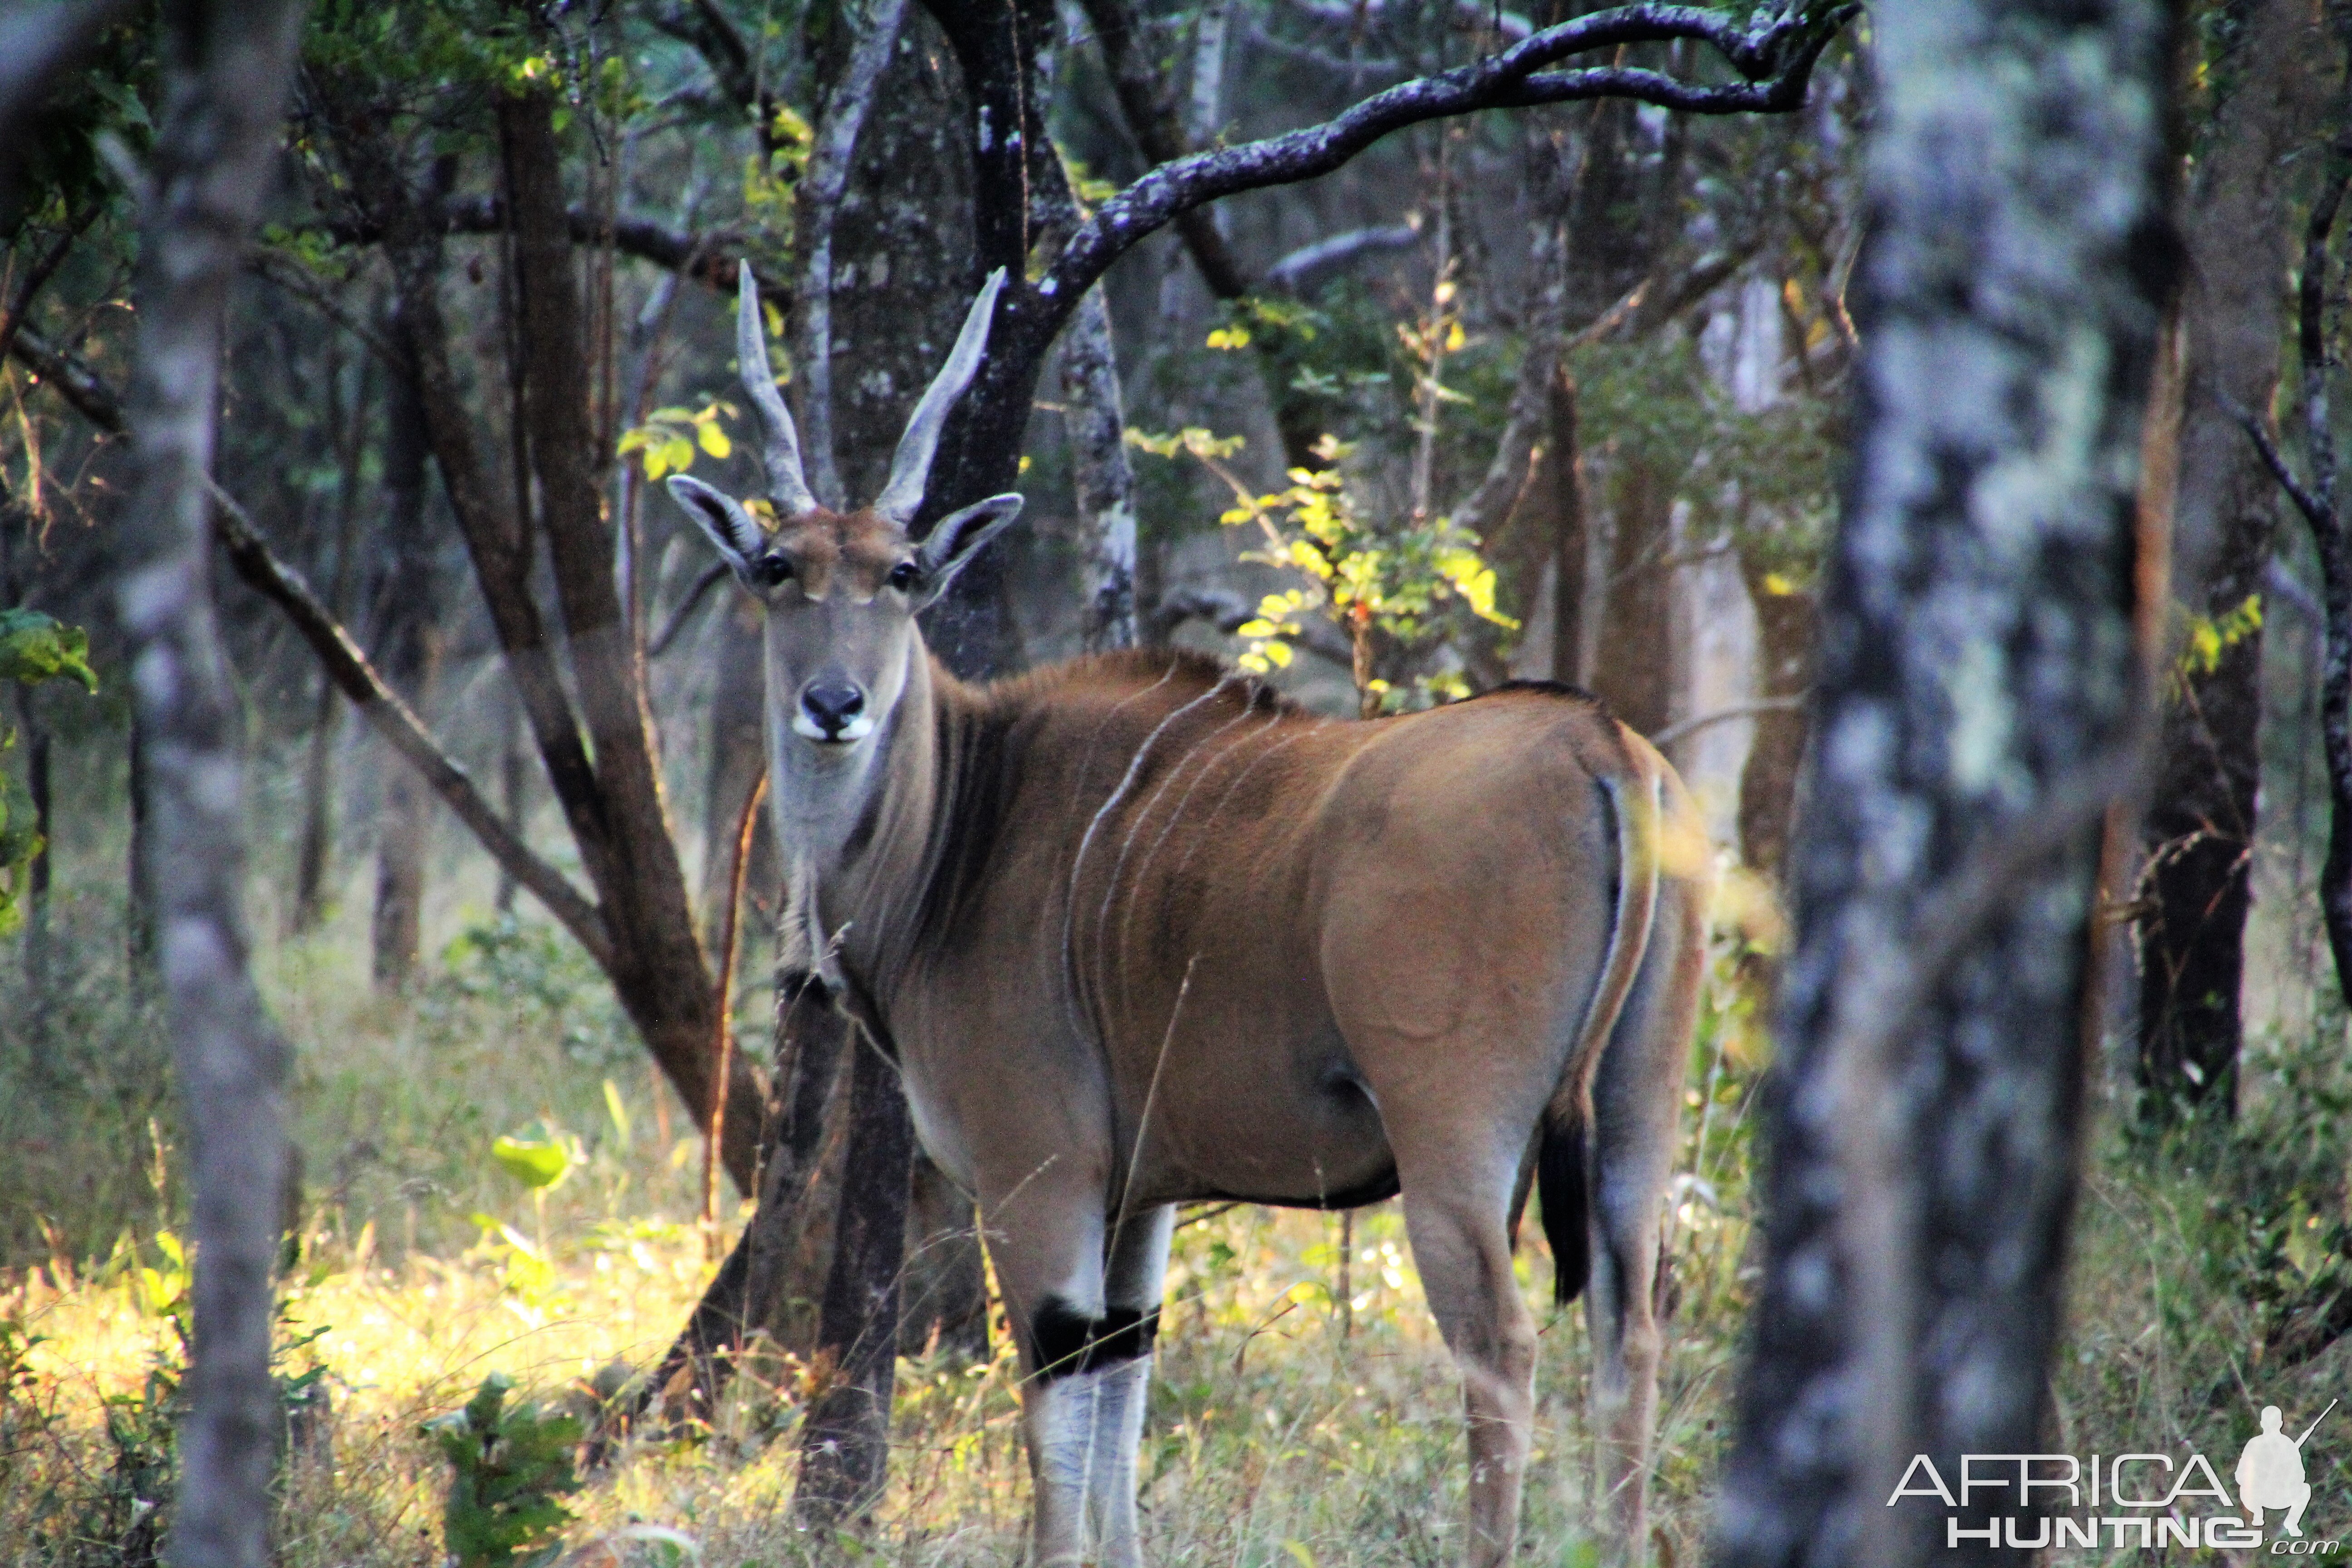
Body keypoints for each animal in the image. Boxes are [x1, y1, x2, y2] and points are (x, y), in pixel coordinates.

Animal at [663, 263, 1712, 1561]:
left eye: (899, 576)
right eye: (777, 569)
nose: (833, 704)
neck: (959, 818)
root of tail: (1601, 744)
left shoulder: (1040, 1175)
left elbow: (1058, 1434)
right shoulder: (1139, 1196)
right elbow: (1121, 1403)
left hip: (1453, 1140)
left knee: (1502, 1348)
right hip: (1635, 1120)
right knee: (1631, 1332)